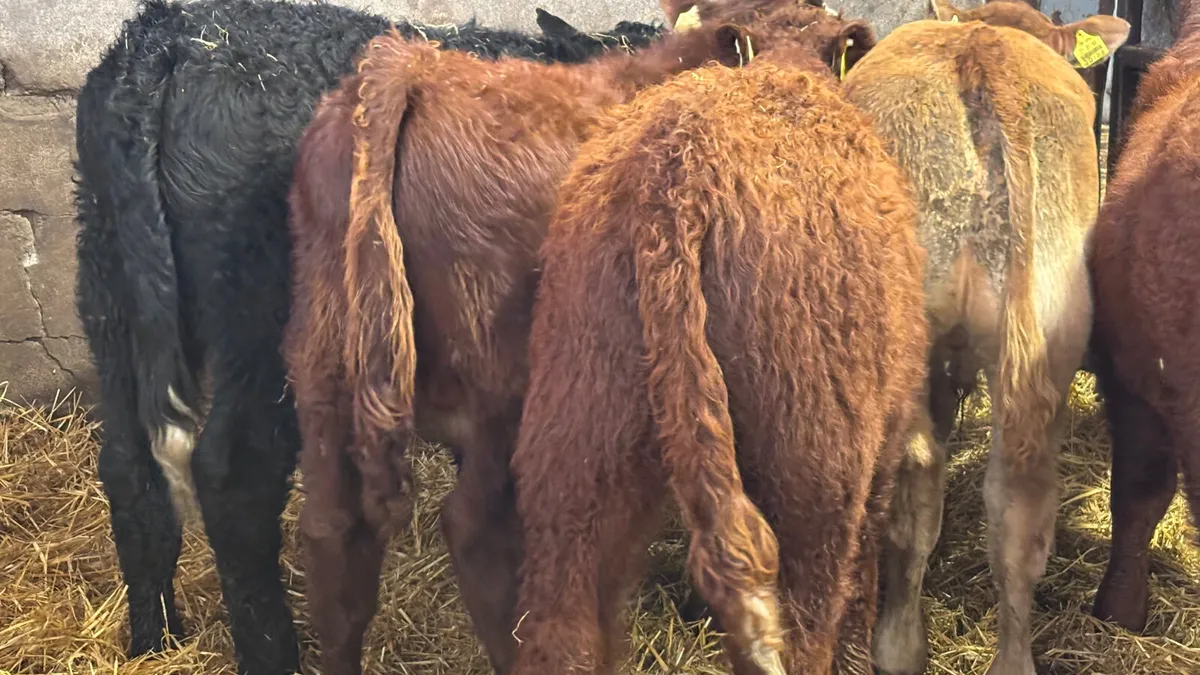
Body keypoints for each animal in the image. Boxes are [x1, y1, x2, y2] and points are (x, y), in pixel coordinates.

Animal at [72, 1, 660, 673]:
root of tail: (167, 41)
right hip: (261, 314)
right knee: (234, 475)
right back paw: (272, 652)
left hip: (109, 284)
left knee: (127, 463)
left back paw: (154, 637)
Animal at [503, 9, 929, 675]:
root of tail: (674, 177)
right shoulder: (886, 440)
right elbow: (865, 581)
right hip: (815, 466)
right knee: (812, 620)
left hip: (578, 440)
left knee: (561, 627)